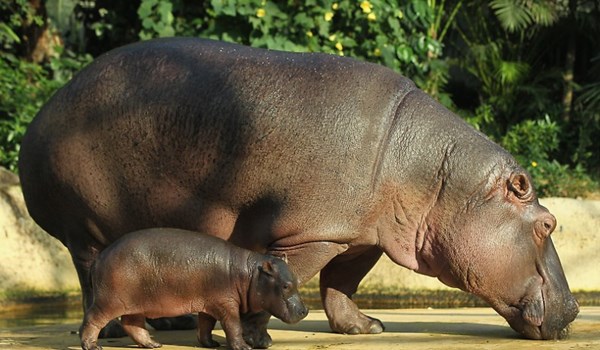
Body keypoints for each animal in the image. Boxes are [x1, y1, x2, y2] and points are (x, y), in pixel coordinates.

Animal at [79, 227, 308, 350]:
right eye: (285, 285)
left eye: (295, 280)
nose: (304, 311)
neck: (249, 273)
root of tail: (100, 257)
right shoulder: (226, 304)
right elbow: (233, 326)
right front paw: (244, 346)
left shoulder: (210, 304)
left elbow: (206, 325)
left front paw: (211, 344)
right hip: (109, 301)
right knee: (92, 319)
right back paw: (92, 346)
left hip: (135, 303)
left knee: (132, 324)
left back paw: (153, 344)